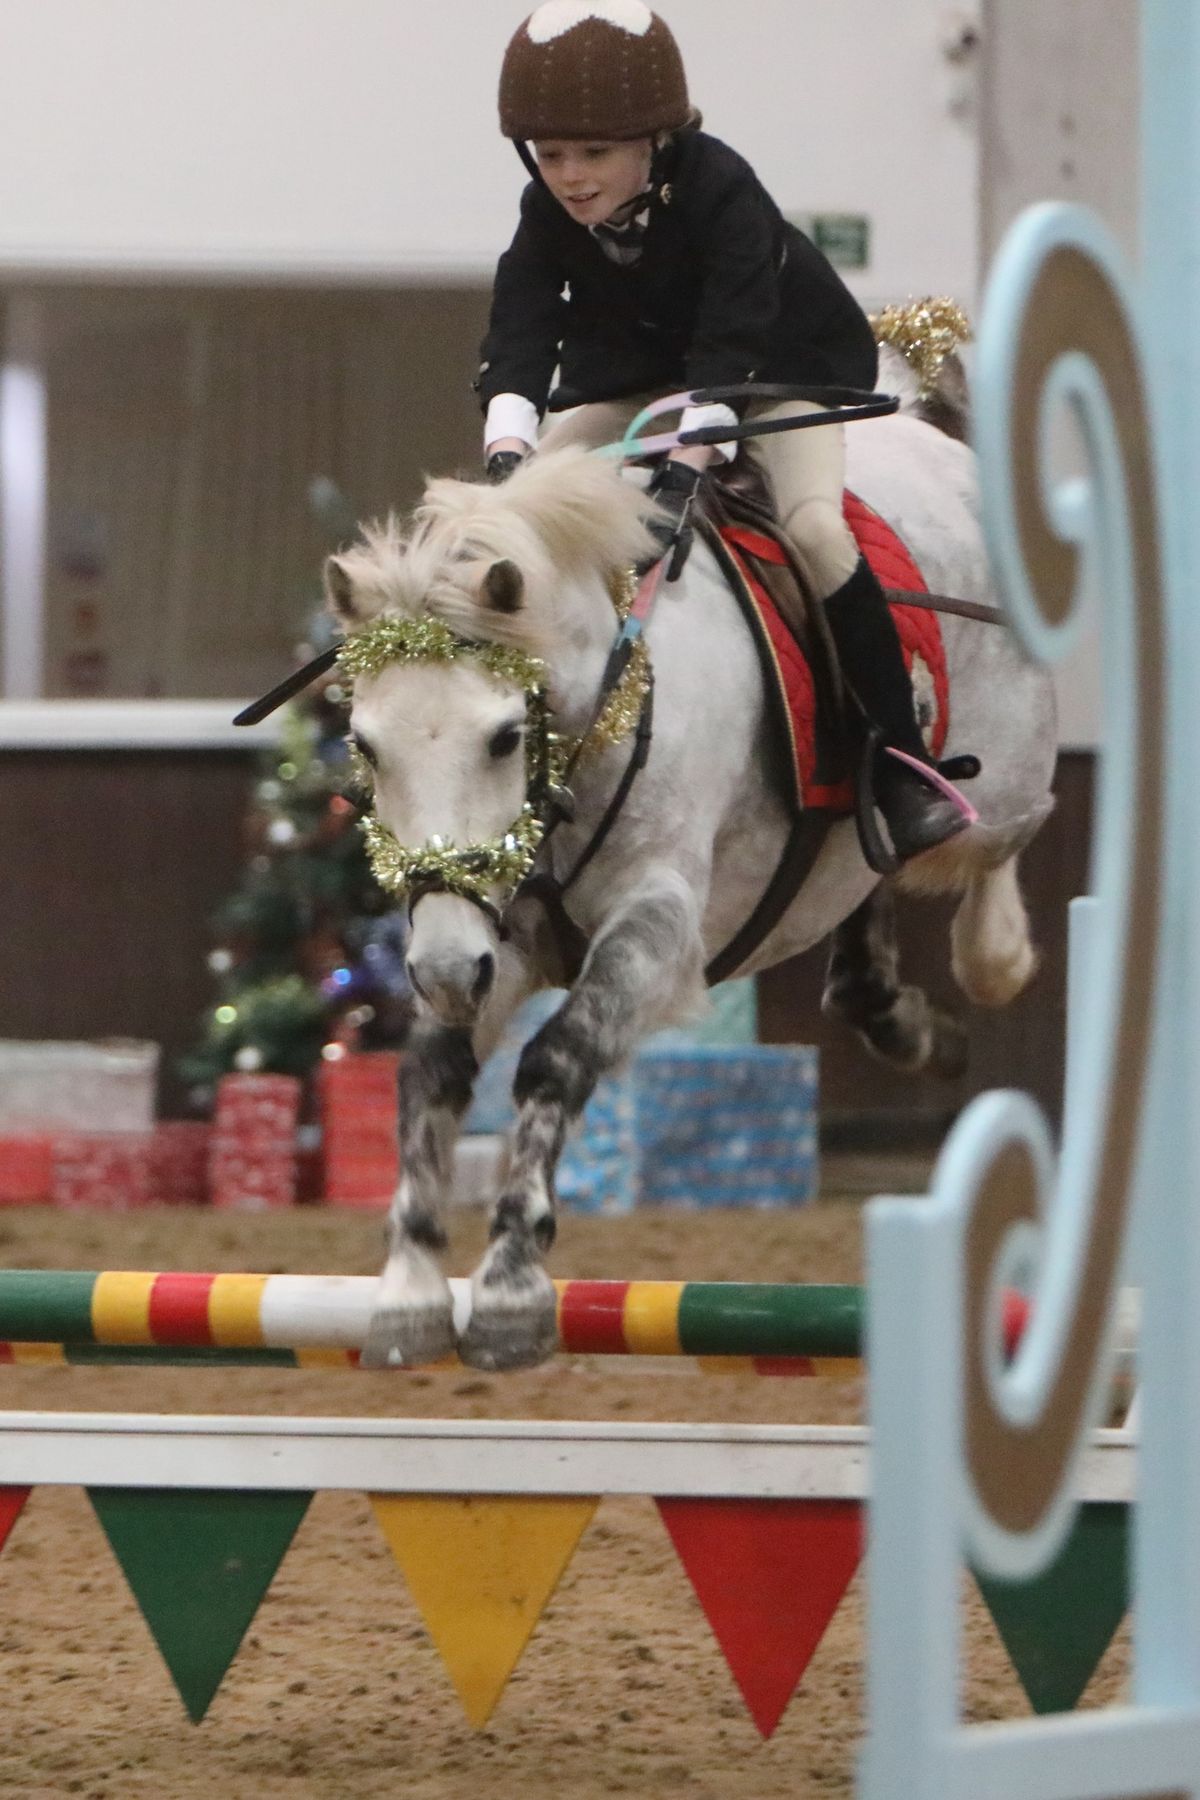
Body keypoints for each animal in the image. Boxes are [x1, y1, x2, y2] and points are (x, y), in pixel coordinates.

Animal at [323, 394, 1057, 1368]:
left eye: (505, 737)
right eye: (366, 745)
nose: (441, 973)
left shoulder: (657, 923)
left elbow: (559, 1057)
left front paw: (512, 1287)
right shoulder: (489, 932)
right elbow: (431, 1073)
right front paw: (408, 1288)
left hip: (1006, 772)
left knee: (1010, 839)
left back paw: (990, 948)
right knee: (869, 899)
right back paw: (900, 1017)